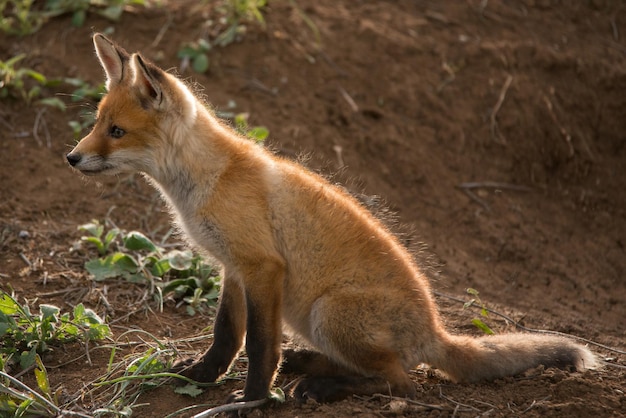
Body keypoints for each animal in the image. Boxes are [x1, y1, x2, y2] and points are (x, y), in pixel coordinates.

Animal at [66, 34, 596, 406]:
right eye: (97, 123)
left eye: (117, 131)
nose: (71, 158)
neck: (207, 180)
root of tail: (435, 332)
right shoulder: (233, 266)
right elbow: (226, 335)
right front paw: (201, 375)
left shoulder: (262, 267)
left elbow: (259, 344)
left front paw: (254, 399)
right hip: (313, 316)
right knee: (379, 370)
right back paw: (310, 366)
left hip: (327, 311)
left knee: (401, 383)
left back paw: (323, 388)